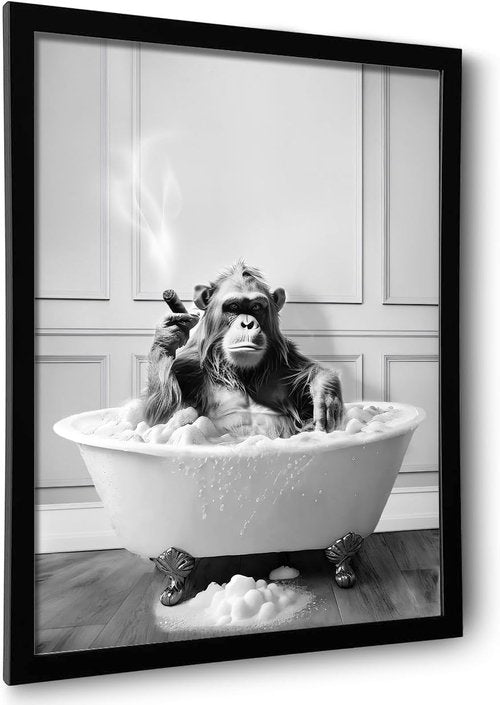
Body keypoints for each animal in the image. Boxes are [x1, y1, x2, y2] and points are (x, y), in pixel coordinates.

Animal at [144, 261, 343, 438]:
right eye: (234, 307)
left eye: (256, 307)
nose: (247, 324)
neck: (242, 374)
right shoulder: (187, 369)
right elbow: (158, 420)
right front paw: (167, 335)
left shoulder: (287, 363)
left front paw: (325, 393)